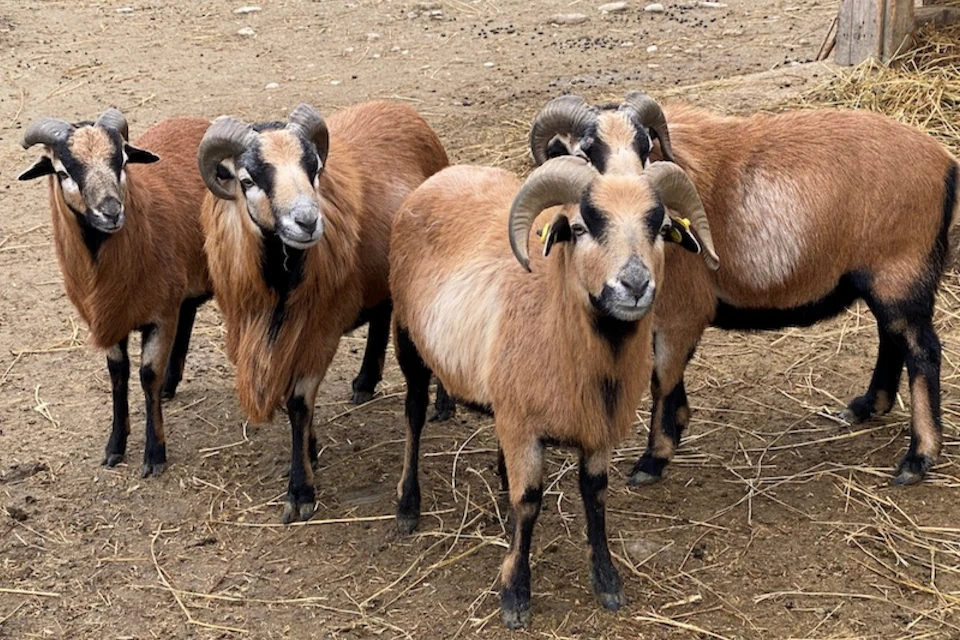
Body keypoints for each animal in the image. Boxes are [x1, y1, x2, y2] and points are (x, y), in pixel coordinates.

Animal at [18, 109, 213, 477]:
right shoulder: (108, 320)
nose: (110, 210)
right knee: (189, 311)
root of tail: (198, 121)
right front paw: (114, 447)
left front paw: (155, 455)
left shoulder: (161, 315)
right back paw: (171, 385)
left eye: (122, 161)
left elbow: (147, 375)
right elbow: (118, 375)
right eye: (62, 172)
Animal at [197, 102, 448, 523]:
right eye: (247, 180)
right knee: (382, 314)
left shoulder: (320, 331)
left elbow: (298, 403)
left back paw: (442, 409)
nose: (308, 221)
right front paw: (310, 452)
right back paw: (365, 382)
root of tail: (401, 108)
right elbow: (293, 402)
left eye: (313, 169)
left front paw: (300, 491)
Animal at [390, 155, 718, 628]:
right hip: (407, 335)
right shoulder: (524, 426)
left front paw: (608, 581)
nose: (635, 284)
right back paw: (407, 506)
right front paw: (515, 593)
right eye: (580, 228)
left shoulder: (597, 425)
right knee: (414, 412)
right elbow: (528, 501)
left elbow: (595, 495)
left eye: (659, 226)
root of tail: (445, 175)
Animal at [530, 94, 959, 487]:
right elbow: (670, 375)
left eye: (644, 148)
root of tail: (945, 162)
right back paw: (868, 406)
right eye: (587, 153)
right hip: (885, 276)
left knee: (923, 351)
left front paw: (653, 459)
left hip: (900, 270)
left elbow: (663, 377)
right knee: (892, 337)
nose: (645, 205)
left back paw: (918, 459)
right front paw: (677, 428)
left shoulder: (682, 310)